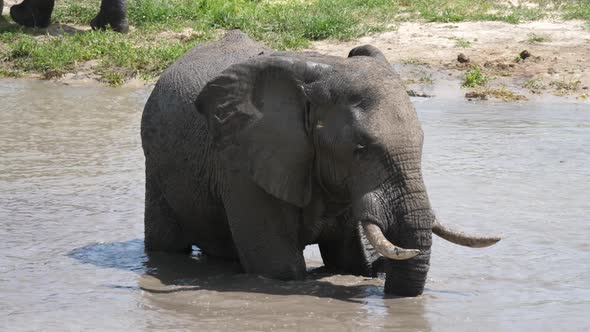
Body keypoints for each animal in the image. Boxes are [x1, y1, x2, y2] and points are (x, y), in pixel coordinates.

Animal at [141, 29, 502, 296]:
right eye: (360, 148)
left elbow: (348, 260)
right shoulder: (243, 164)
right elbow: (278, 267)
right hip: (155, 163)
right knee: (166, 243)